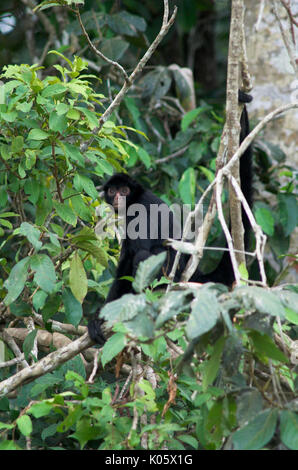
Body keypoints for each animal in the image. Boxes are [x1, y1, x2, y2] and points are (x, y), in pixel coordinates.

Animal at [87, 90, 253, 344]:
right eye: (113, 191)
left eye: (124, 191)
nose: (118, 198)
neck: (135, 199)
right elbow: (125, 258)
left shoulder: (140, 211)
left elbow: (137, 254)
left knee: (144, 255)